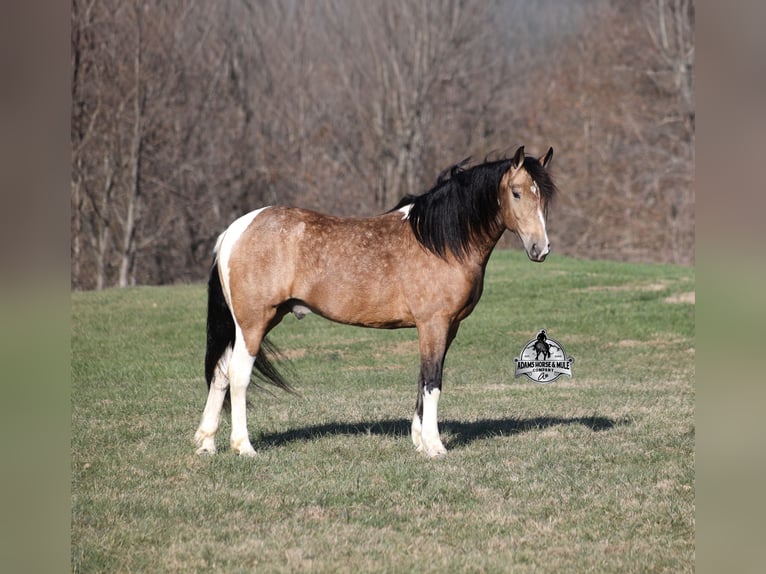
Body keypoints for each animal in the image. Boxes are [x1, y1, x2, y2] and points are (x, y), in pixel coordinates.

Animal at [195, 145, 557, 458]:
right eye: (516, 192)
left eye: (544, 196)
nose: (540, 249)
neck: (439, 241)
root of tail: (235, 230)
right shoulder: (434, 324)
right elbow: (433, 380)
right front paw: (434, 446)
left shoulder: (446, 328)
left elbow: (423, 379)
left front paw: (419, 441)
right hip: (253, 323)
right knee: (238, 375)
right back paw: (243, 446)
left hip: (250, 324)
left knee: (221, 373)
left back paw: (206, 443)